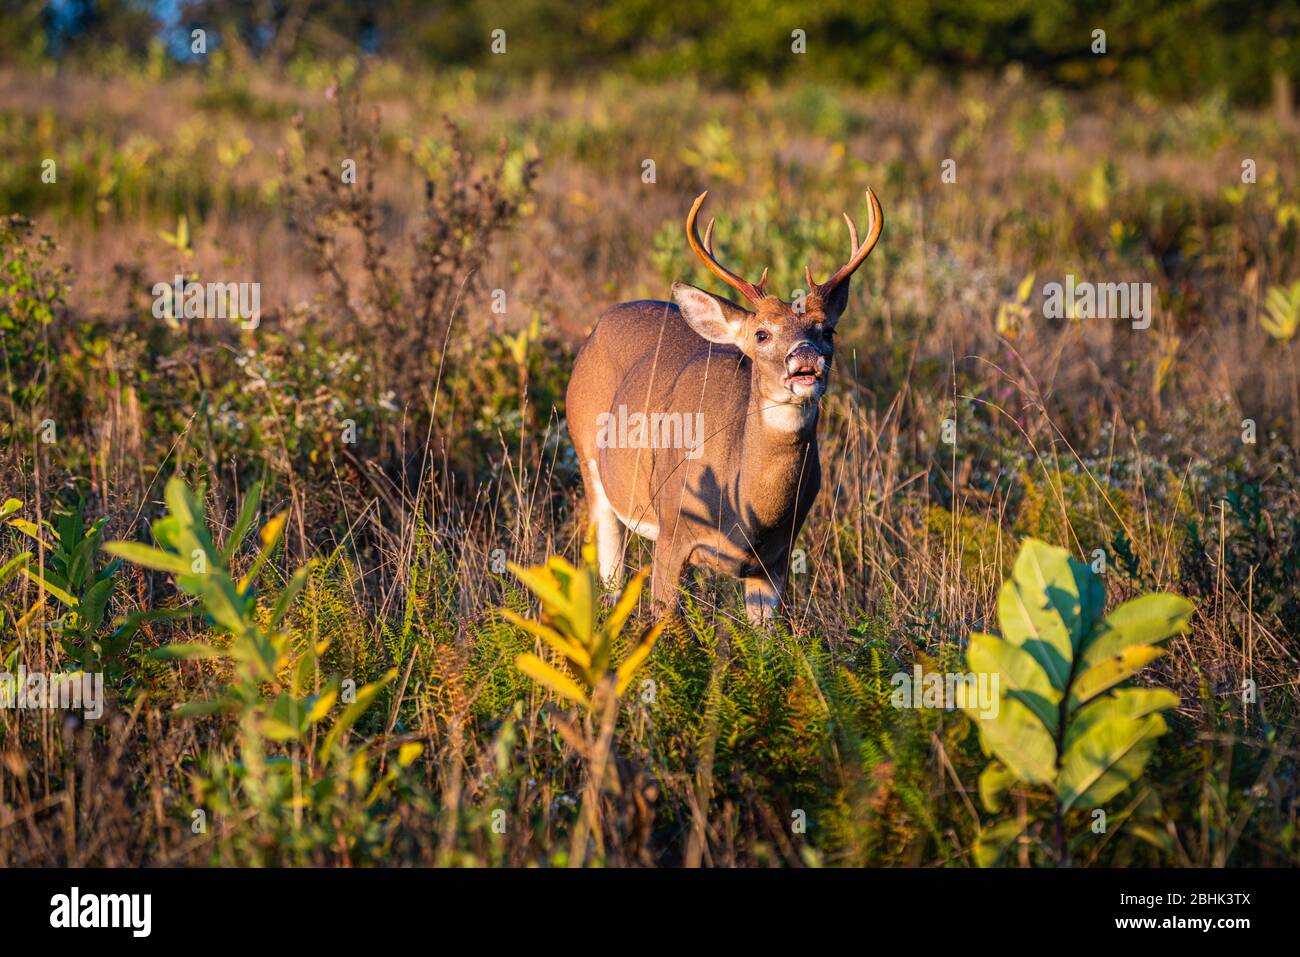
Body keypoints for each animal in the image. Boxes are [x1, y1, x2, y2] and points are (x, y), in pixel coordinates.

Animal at [569, 191, 883, 624]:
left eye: (828, 330)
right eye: (762, 334)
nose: (805, 358)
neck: (747, 515)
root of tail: (599, 325)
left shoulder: (775, 561)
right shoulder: (672, 531)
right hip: (591, 464)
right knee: (611, 577)